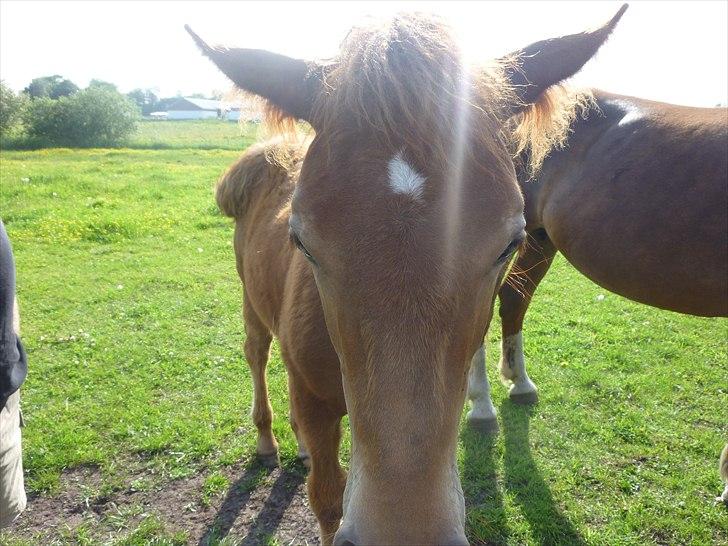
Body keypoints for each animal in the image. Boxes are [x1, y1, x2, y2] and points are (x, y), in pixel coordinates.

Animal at [192, 7, 624, 540]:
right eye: (301, 241)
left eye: (511, 242)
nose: (403, 531)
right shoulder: (316, 403)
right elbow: (326, 500)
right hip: (251, 299)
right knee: (255, 352)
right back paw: (267, 441)